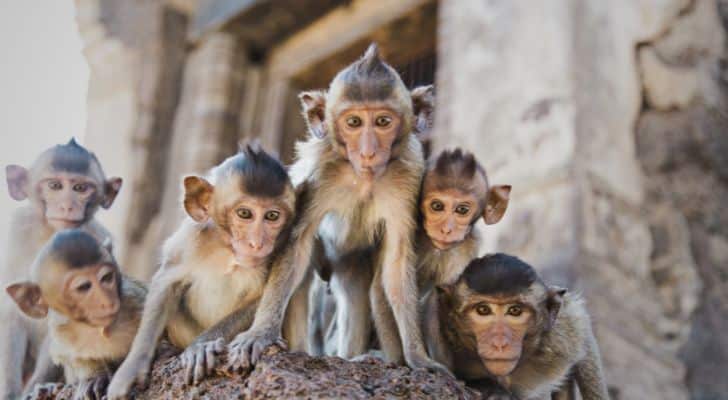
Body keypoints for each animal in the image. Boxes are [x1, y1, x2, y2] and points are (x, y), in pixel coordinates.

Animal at [0, 138, 122, 400]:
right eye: (55, 186)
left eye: (80, 188)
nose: (67, 205)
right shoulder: (19, 230)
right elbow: (11, 312)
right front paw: (9, 391)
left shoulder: (97, 238)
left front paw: (35, 389)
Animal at [4, 228, 145, 400]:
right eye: (83, 287)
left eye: (106, 278)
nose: (108, 301)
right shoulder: (62, 330)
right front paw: (95, 376)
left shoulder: (134, 300)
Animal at [106, 145, 294, 398]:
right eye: (245, 214)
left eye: (272, 216)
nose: (257, 244)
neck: (227, 250)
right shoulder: (189, 239)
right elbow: (166, 283)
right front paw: (131, 370)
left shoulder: (276, 251)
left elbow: (264, 297)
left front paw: (201, 347)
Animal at [225, 42, 446, 374]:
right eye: (354, 122)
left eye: (383, 121)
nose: (368, 152)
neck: (365, 178)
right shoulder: (322, 173)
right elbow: (297, 244)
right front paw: (260, 334)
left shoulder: (406, 180)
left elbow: (396, 263)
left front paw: (418, 357)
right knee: (303, 276)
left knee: (358, 290)